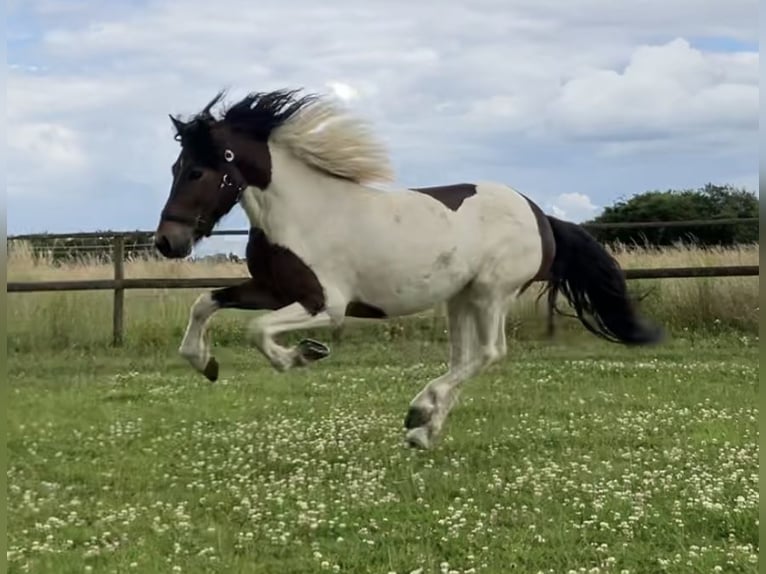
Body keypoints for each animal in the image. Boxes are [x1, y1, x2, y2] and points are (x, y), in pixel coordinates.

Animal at [154, 88, 663, 449]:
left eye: (197, 171)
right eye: (175, 167)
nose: (167, 242)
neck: (302, 212)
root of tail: (540, 215)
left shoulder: (325, 303)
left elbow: (257, 330)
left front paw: (302, 355)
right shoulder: (274, 288)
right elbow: (205, 302)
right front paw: (206, 364)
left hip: (491, 292)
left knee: (489, 353)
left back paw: (419, 412)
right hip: (460, 297)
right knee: (463, 358)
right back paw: (423, 431)